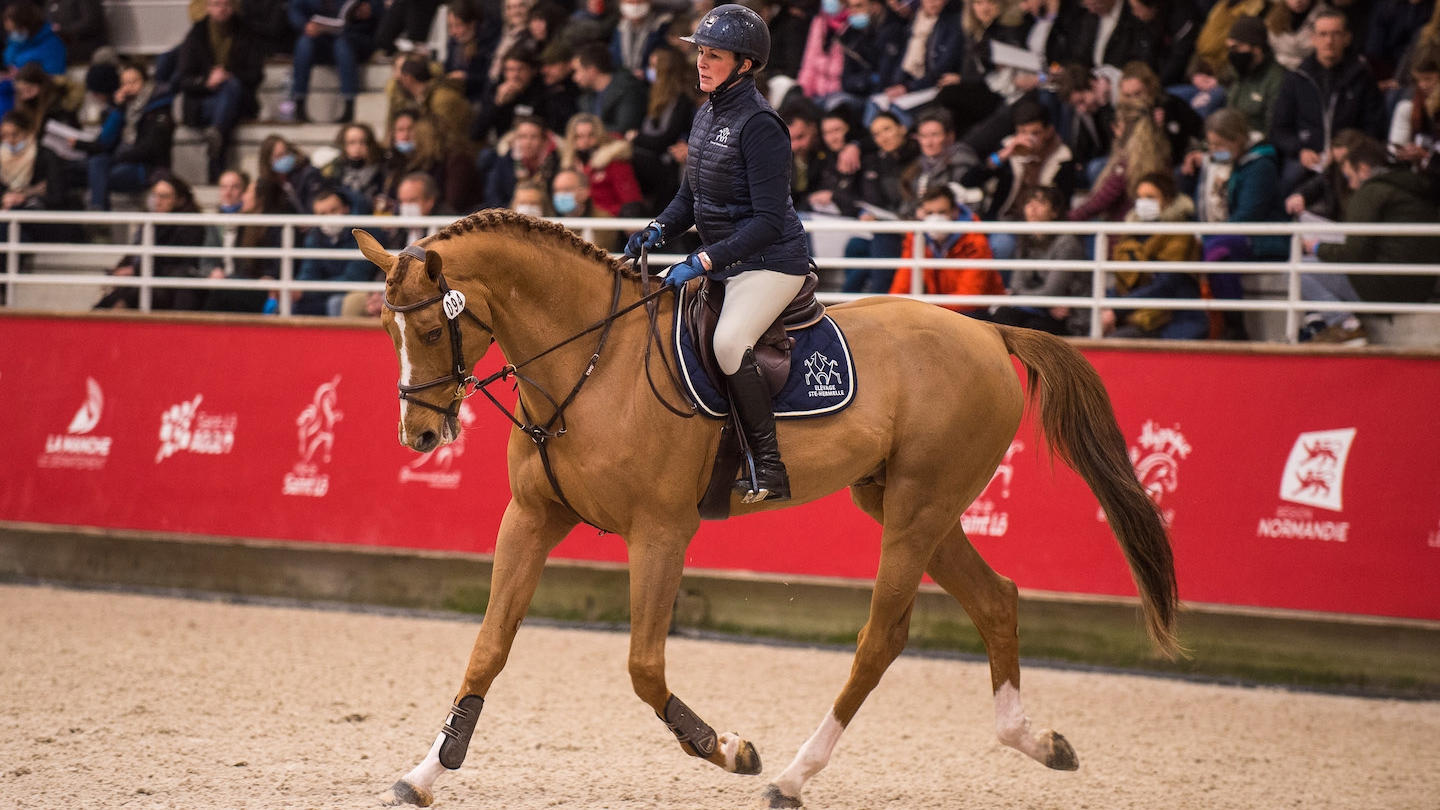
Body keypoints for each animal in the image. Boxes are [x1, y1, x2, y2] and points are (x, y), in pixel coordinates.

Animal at [354, 211, 1175, 801]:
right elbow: (489, 646)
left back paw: (791, 776)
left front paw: (726, 749)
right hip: (909, 504)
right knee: (997, 600)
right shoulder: (531, 517)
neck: (591, 364)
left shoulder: (660, 533)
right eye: (386, 327)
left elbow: (643, 666)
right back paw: (1036, 743)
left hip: (919, 507)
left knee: (883, 635)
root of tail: (985, 329)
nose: (419, 435)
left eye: (427, 328)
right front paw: (428, 771)